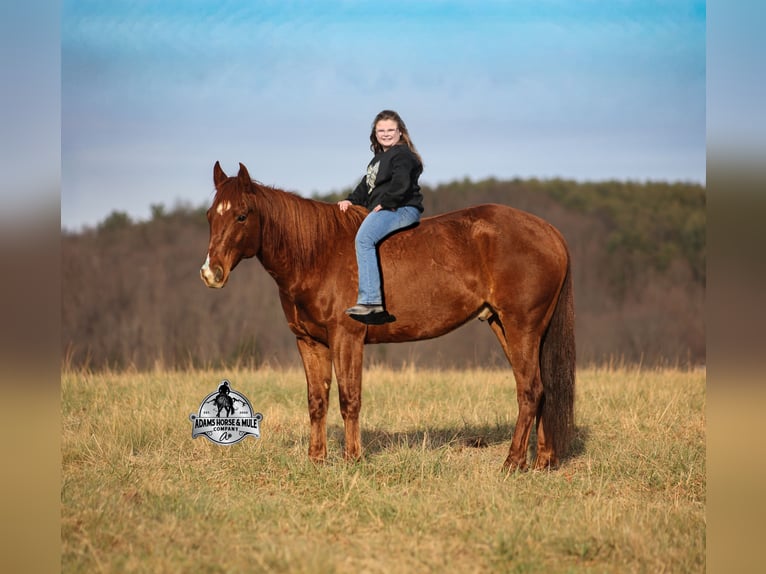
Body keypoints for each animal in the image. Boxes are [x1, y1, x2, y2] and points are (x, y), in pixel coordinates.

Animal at [201, 162, 575, 471]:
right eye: (209, 216)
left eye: (242, 215)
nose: (211, 272)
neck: (318, 253)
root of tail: (550, 232)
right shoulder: (309, 342)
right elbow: (317, 401)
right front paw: (316, 459)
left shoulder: (347, 337)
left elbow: (349, 398)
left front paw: (353, 458)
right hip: (509, 327)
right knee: (540, 389)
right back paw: (542, 460)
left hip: (521, 326)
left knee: (530, 390)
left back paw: (512, 462)